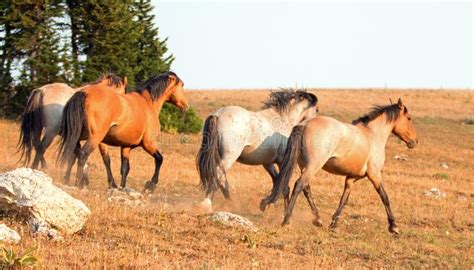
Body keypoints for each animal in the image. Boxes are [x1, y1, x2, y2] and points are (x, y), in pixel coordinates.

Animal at [59, 70, 191, 191]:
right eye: (182, 85)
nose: (186, 106)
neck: (148, 103)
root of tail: (84, 93)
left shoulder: (126, 147)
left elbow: (124, 168)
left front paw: (121, 187)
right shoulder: (148, 143)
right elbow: (159, 159)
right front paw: (150, 186)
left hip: (78, 135)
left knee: (73, 152)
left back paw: (67, 180)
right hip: (94, 137)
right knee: (82, 155)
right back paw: (78, 183)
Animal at [262, 98, 420, 233]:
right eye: (409, 118)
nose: (415, 141)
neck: (373, 135)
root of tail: (304, 124)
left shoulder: (351, 178)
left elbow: (344, 199)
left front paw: (334, 223)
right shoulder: (374, 175)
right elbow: (385, 197)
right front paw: (393, 226)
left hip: (304, 166)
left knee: (306, 188)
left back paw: (318, 219)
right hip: (314, 166)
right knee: (299, 185)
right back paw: (287, 220)